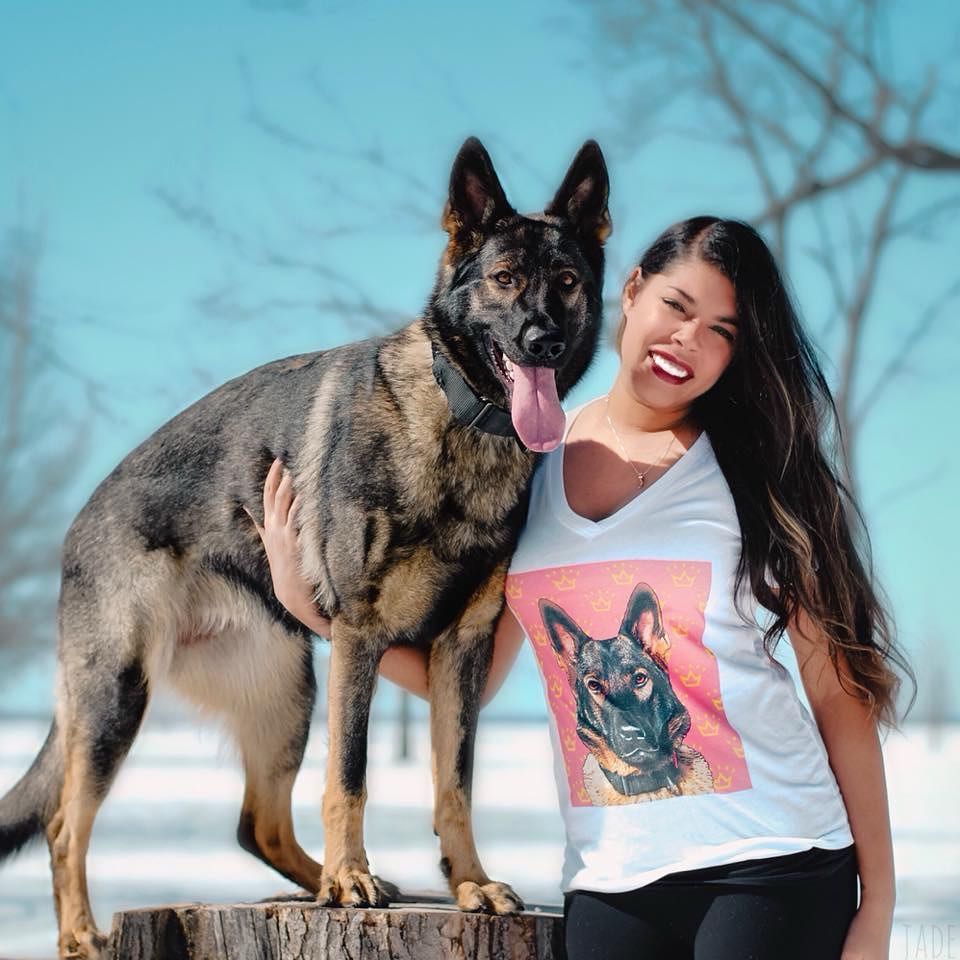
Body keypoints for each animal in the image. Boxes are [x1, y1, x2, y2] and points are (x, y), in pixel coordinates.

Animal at [0, 139, 612, 956]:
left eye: (568, 282)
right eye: (505, 279)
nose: (543, 342)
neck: (462, 422)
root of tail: (79, 520)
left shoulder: (463, 652)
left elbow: (454, 782)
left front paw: (469, 883)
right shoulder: (360, 637)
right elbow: (350, 774)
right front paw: (354, 877)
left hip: (286, 694)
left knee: (256, 824)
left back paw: (328, 882)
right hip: (120, 696)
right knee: (67, 826)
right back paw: (84, 935)